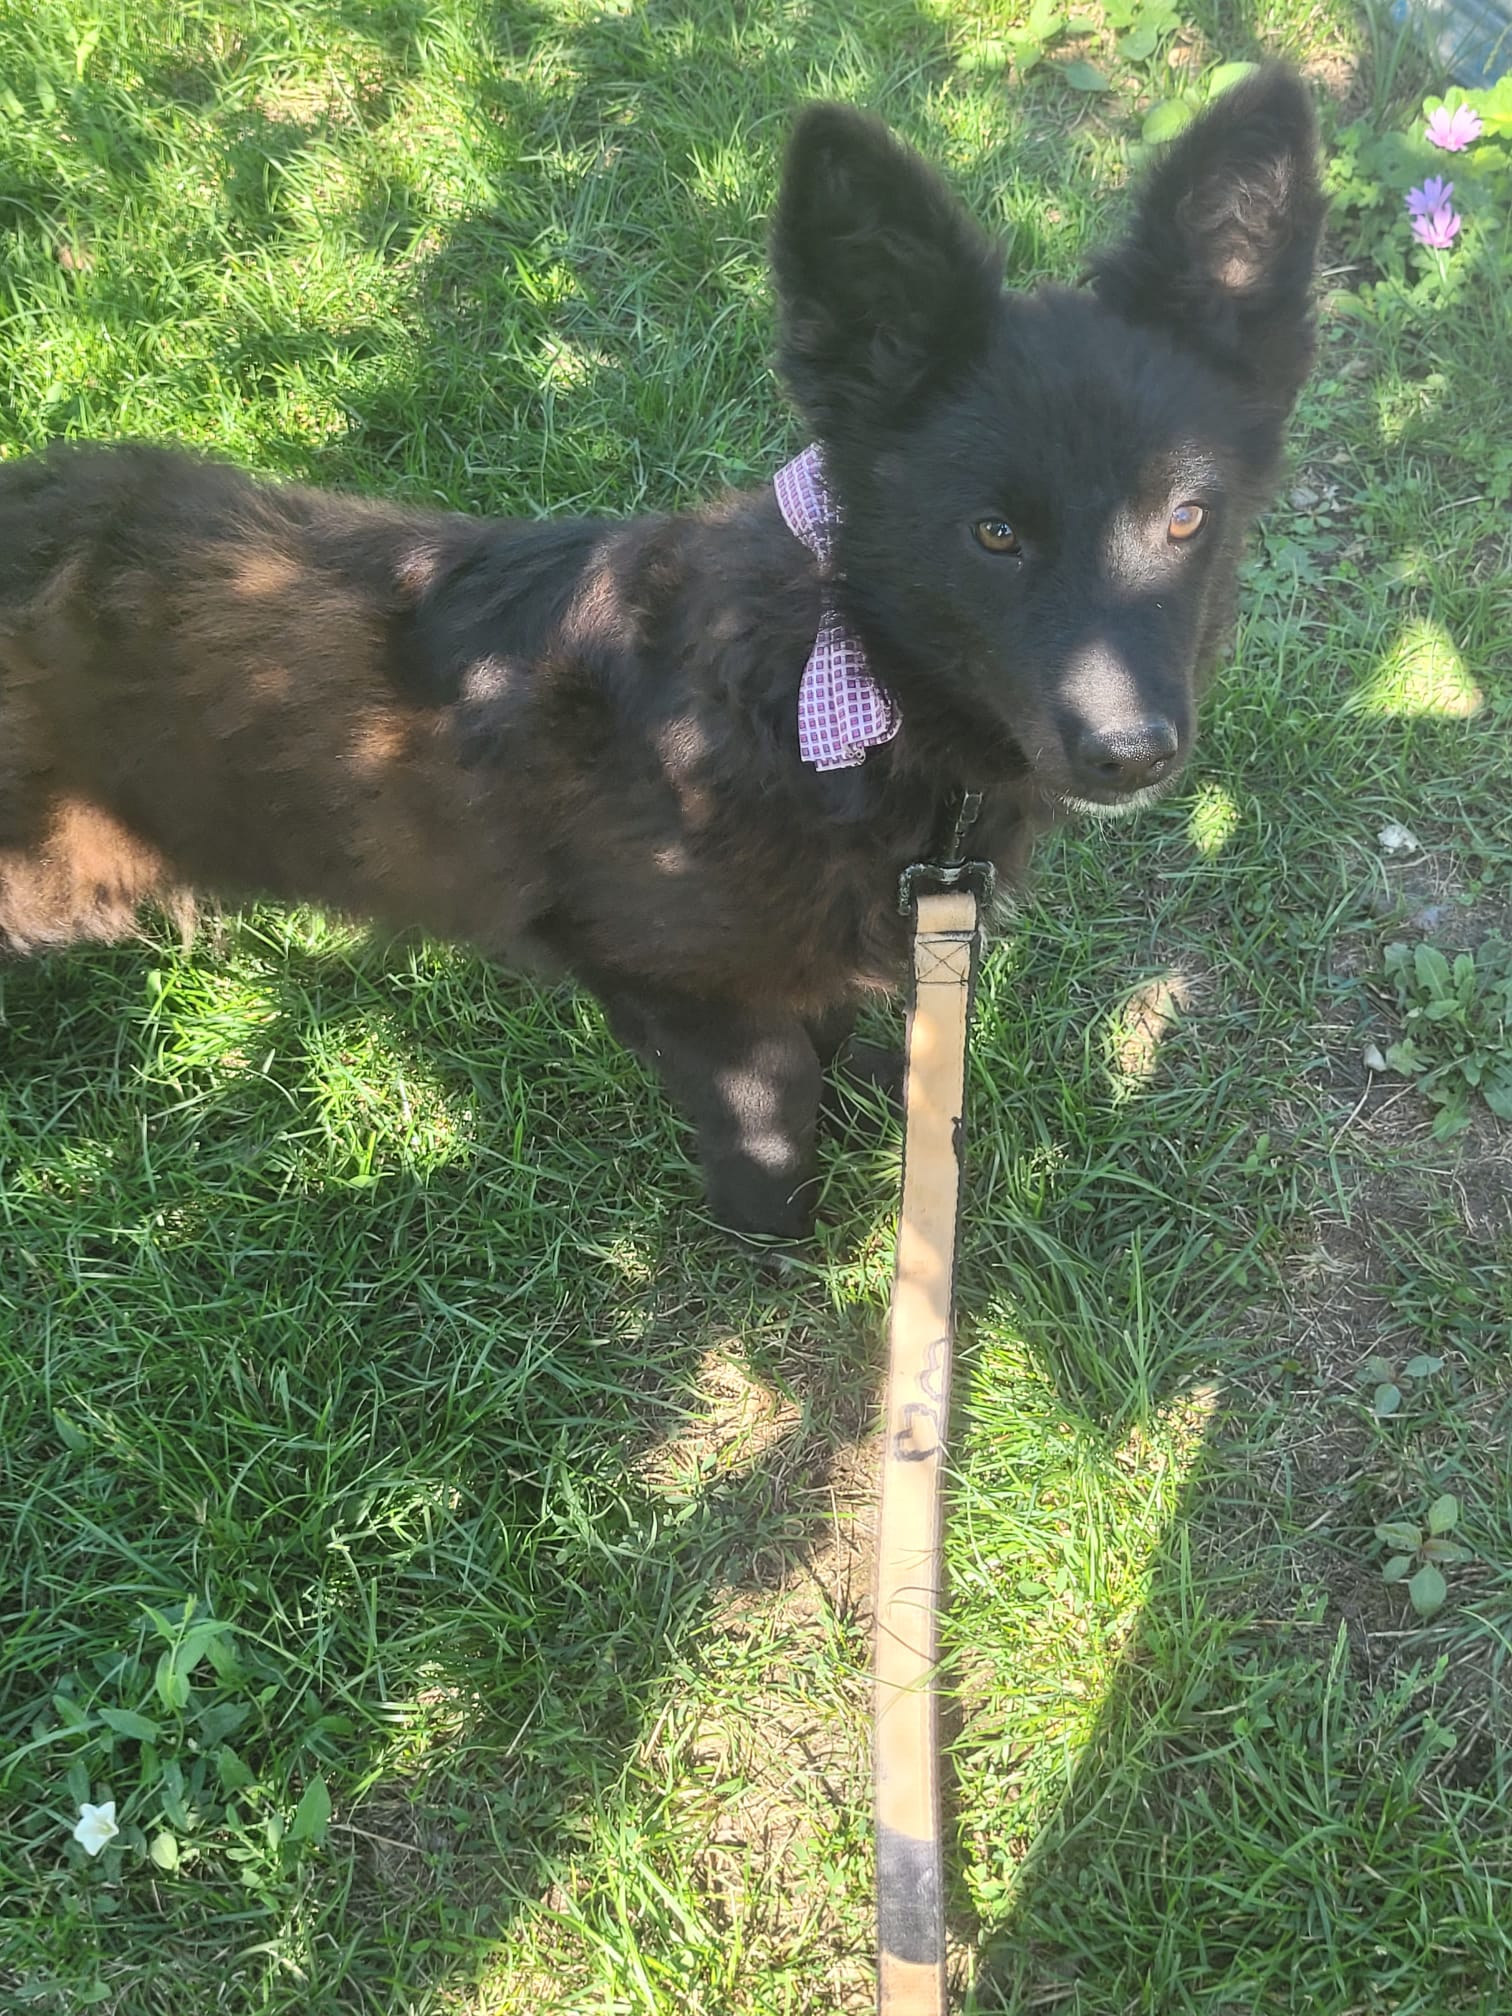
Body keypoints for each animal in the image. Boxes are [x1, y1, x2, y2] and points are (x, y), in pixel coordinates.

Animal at [0, 67, 1321, 1240]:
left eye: (1186, 518)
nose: (1132, 756)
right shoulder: (666, 984)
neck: (831, 696)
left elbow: (833, 1042)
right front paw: (778, 1237)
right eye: (993, 534)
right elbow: (774, 1128)